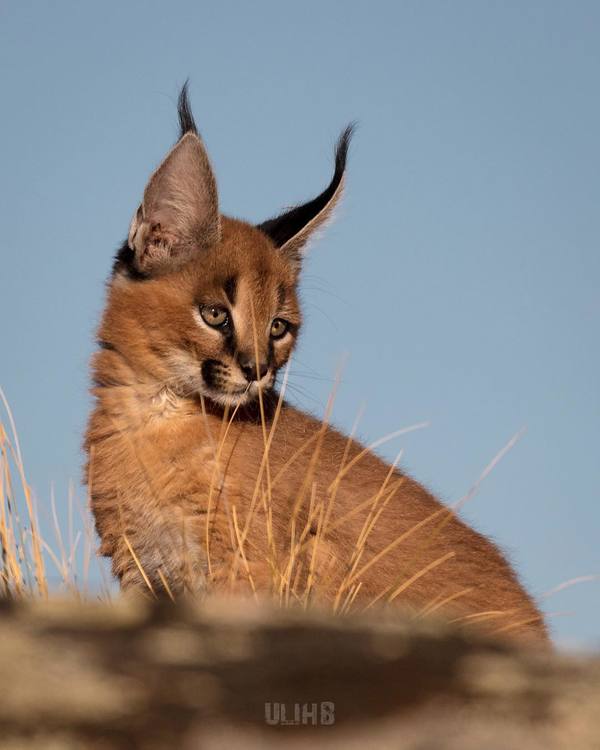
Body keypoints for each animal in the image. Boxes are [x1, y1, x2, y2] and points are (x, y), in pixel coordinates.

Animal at [85, 83, 548, 648]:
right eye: (215, 314)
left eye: (278, 327)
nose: (257, 369)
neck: (154, 411)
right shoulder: (144, 573)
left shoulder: (244, 571)